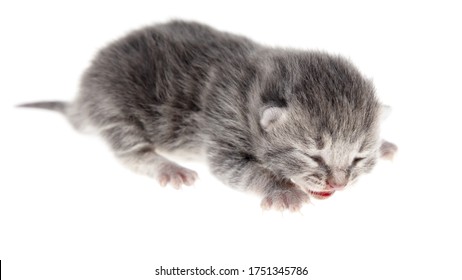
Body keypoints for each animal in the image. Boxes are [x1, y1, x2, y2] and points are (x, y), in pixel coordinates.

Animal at [19, 20, 398, 211]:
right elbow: (239, 170)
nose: (338, 184)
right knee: (132, 154)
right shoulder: (222, 125)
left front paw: (385, 146)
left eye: (358, 157)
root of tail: (81, 98)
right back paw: (169, 167)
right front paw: (283, 192)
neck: (253, 90)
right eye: (313, 155)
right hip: (116, 111)